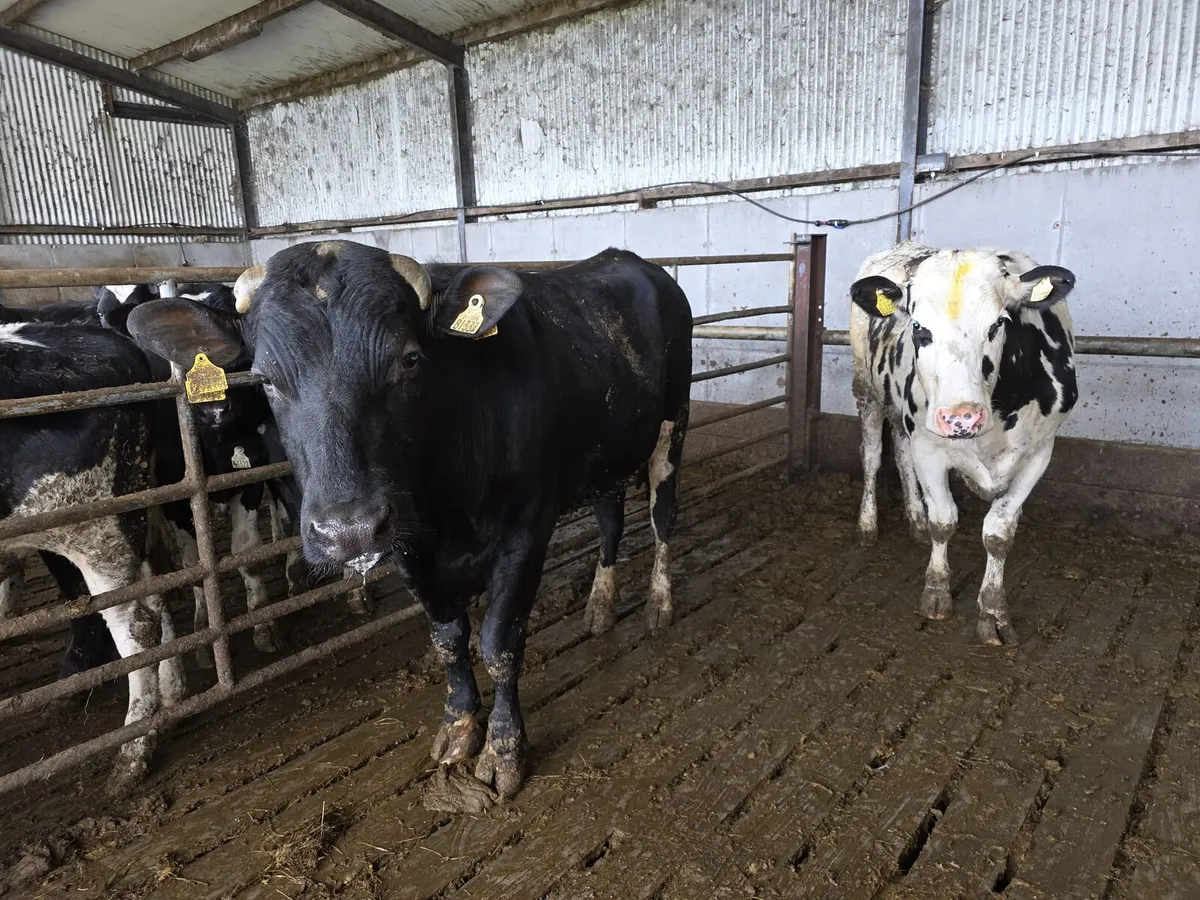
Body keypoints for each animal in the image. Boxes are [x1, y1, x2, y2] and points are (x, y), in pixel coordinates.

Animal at [0, 320, 186, 793]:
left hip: (92, 531)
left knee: (137, 626)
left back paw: (133, 751)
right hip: (128, 523)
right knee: (157, 596)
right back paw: (172, 697)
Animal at [122, 240, 693, 799]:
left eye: (411, 360)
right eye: (263, 379)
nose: (347, 530)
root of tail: (629, 261)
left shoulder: (527, 531)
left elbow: (499, 643)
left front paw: (503, 751)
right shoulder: (410, 549)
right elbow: (448, 639)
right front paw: (459, 727)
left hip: (673, 424)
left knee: (663, 518)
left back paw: (660, 605)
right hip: (607, 456)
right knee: (611, 522)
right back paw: (600, 605)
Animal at [850, 242, 1077, 645]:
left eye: (998, 324)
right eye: (919, 327)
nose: (962, 418)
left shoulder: (1039, 452)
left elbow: (999, 533)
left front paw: (993, 611)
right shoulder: (929, 447)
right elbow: (944, 521)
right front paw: (937, 593)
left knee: (900, 452)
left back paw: (914, 519)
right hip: (867, 391)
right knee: (873, 457)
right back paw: (868, 525)